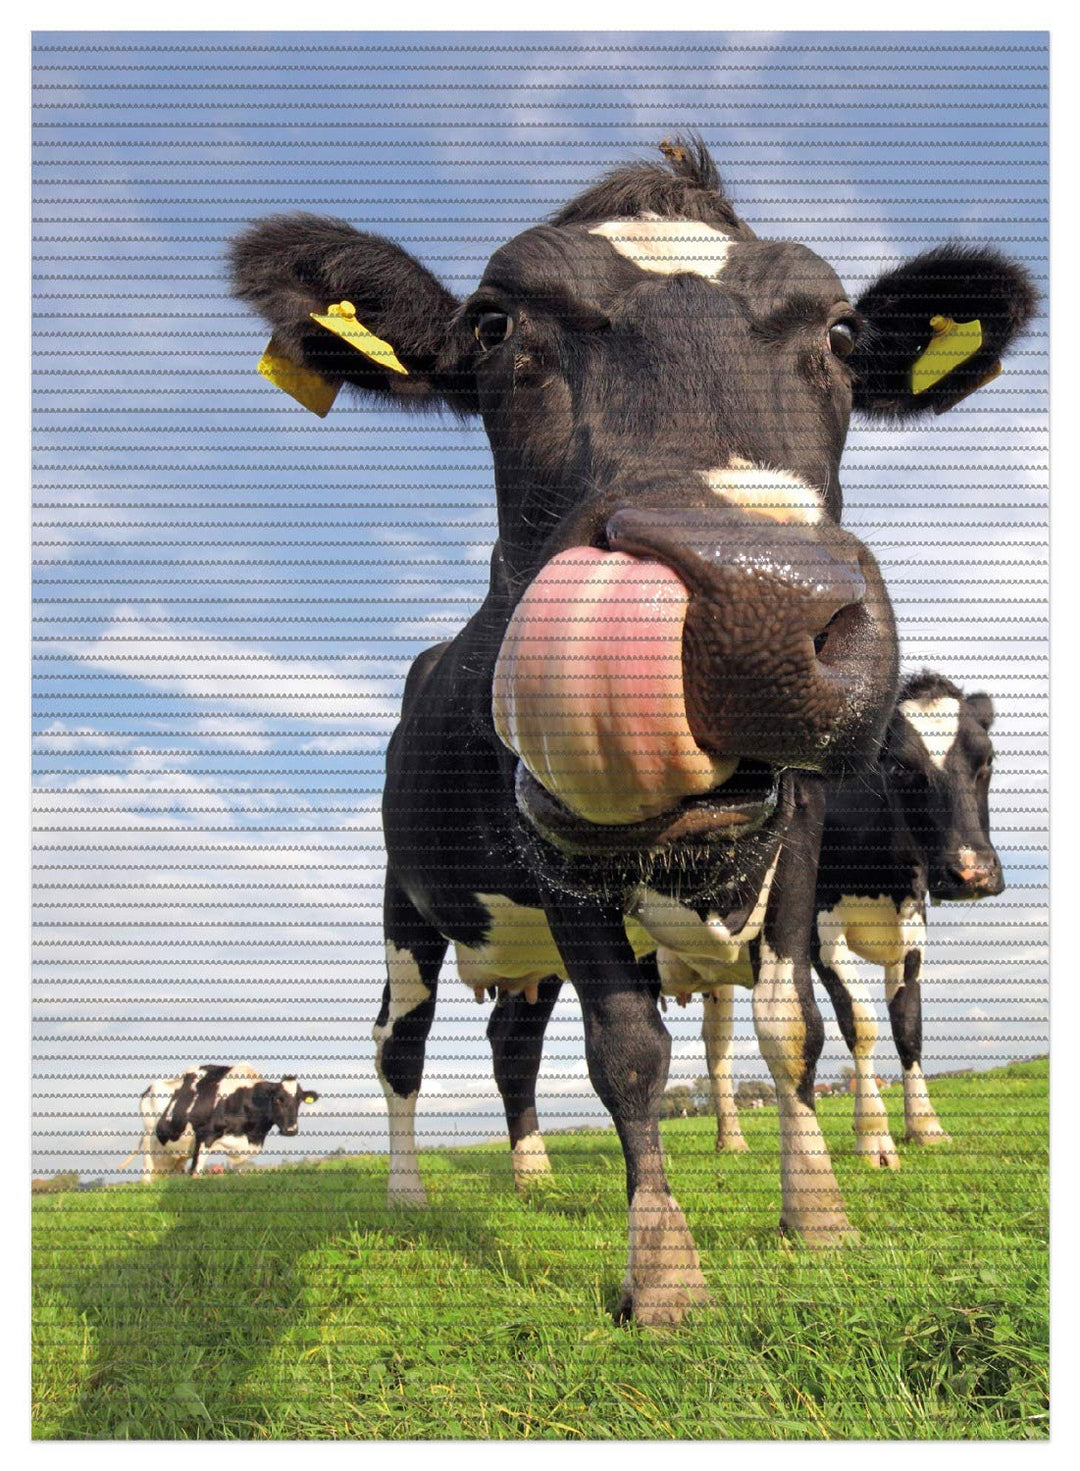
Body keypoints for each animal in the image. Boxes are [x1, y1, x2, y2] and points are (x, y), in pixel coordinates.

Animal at [121, 1065, 319, 1181]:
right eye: (278, 1099)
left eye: (299, 1100)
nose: (291, 1129)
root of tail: (149, 1089)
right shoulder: (204, 1135)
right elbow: (196, 1172)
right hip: (149, 1137)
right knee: (147, 1173)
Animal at [697, 672, 1004, 1163]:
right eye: (899, 768)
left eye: (987, 760)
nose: (972, 872)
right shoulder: (819, 932)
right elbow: (860, 1021)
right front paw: (873, 1134)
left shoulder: (912, 930)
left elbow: (908, 1026)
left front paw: (925, 1125)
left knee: (717, 1045)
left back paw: (732, 1139)